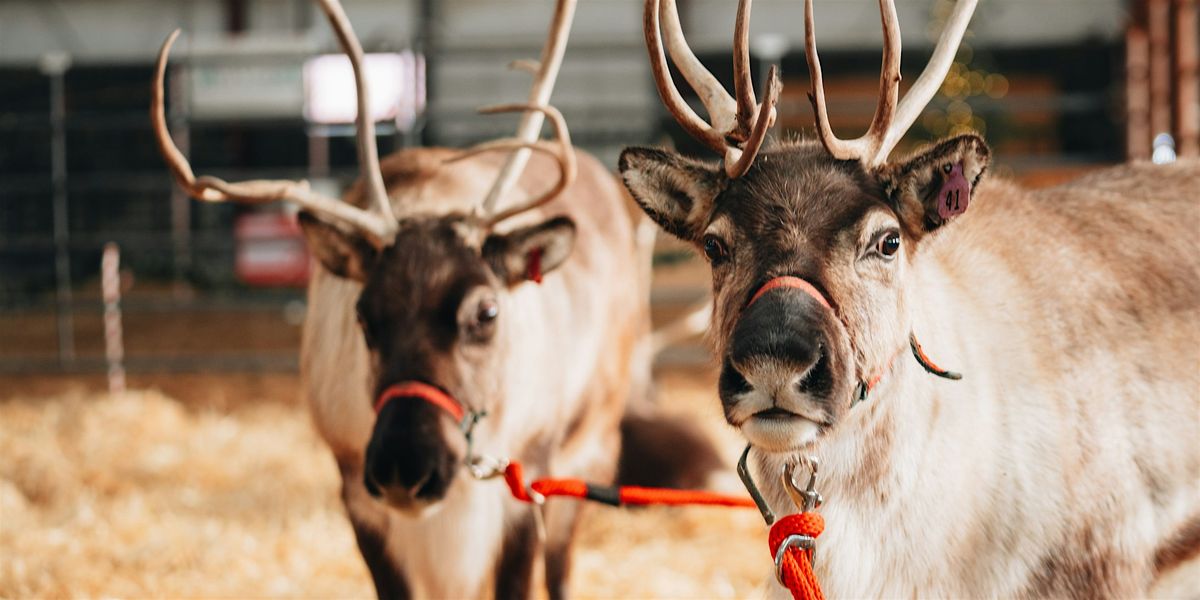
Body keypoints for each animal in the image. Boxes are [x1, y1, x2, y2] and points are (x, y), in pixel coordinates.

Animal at [149, 0, 726, 597]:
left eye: (487, 312)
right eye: (363, 316)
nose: (405, 468)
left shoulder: (526, 487)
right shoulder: (358, 495)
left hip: (591, 451)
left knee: (562, 567)